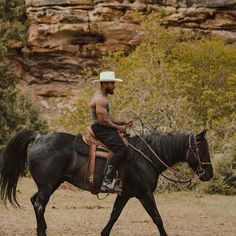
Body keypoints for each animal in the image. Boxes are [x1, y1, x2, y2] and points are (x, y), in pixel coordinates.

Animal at [0, 129, 213, 236]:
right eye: (202, 150)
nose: (209, 174)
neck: (146, 157)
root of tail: (38, 138)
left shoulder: (125, 194)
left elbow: (114, 216)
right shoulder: (144, 194)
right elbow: (157, 218)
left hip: (50, 184)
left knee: (35, 202)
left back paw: (42, 229)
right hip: (48, 185)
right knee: (39, 205)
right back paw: (42, 232)